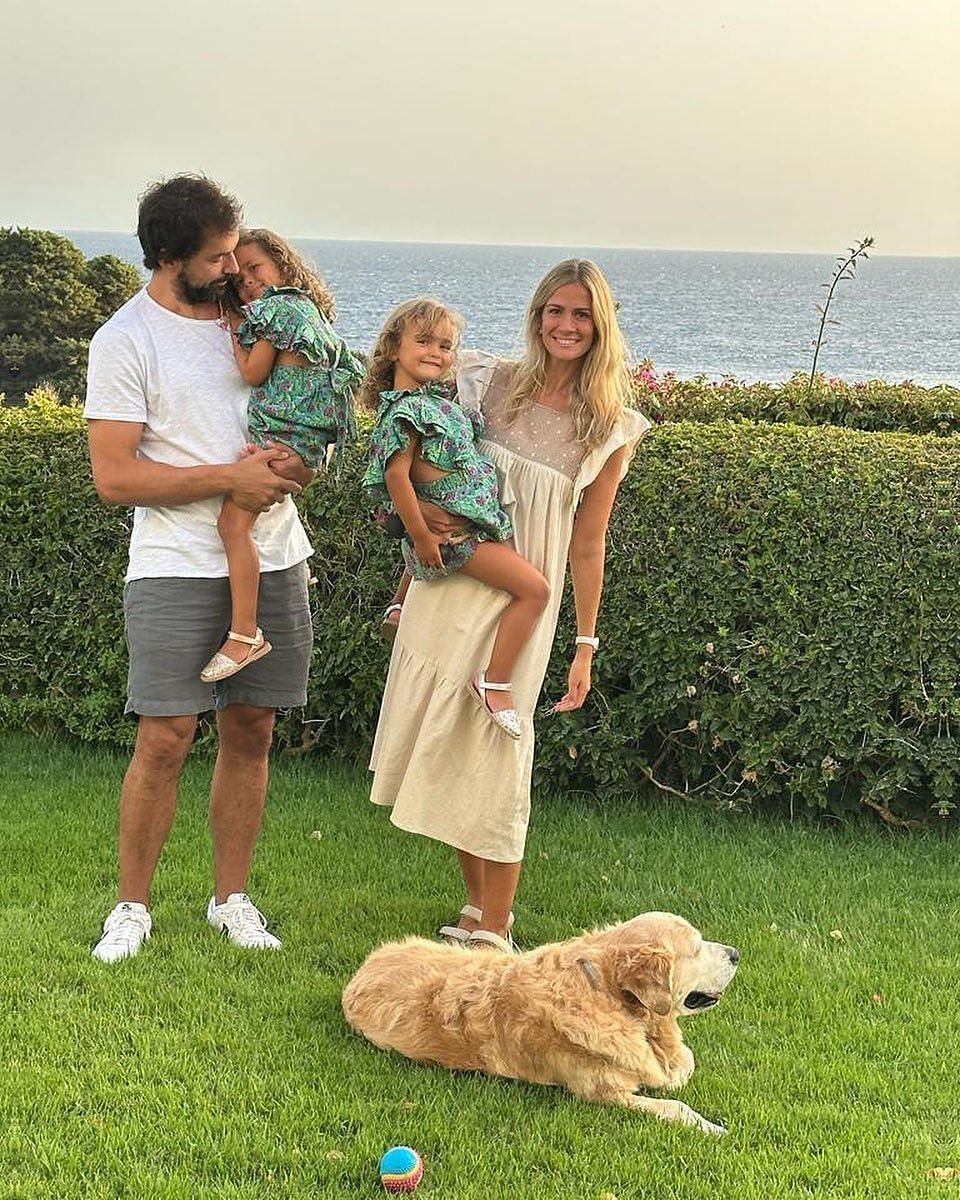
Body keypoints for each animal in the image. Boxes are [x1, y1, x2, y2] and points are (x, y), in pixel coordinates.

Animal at [340, 907, 739, 1132]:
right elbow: (675, 1104)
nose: (736, 952)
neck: (607, 993)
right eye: (698, 948)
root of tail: (362, 970)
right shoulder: (603, 1094)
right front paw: (713, 1128)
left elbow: (681, 1066)